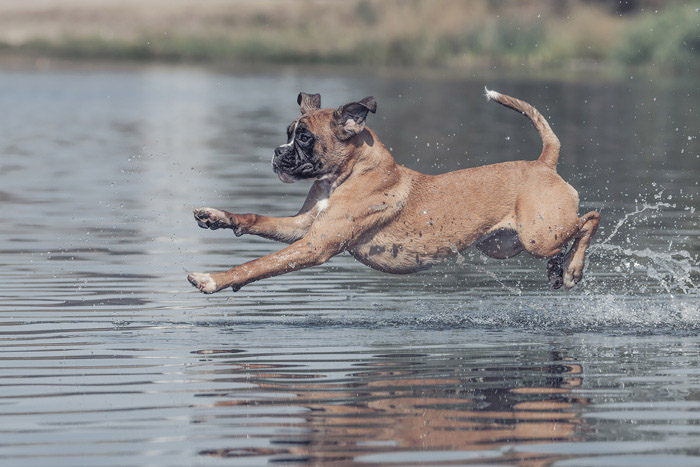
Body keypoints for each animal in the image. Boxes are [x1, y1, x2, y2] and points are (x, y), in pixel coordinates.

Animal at [187, 89, 600, 294]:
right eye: (288, 133)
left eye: (303, 137)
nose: (276, 152)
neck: (350, 173)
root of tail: (544, 162)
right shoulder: (303, 227)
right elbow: (254, 219)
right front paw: (216, 217)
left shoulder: (314, 245)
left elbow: (258, 264)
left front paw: (213, 279)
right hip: (506, 244)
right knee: (571, 235)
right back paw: (558, 271)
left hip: (539, 234)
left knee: (589, 219)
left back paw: (572, 270)